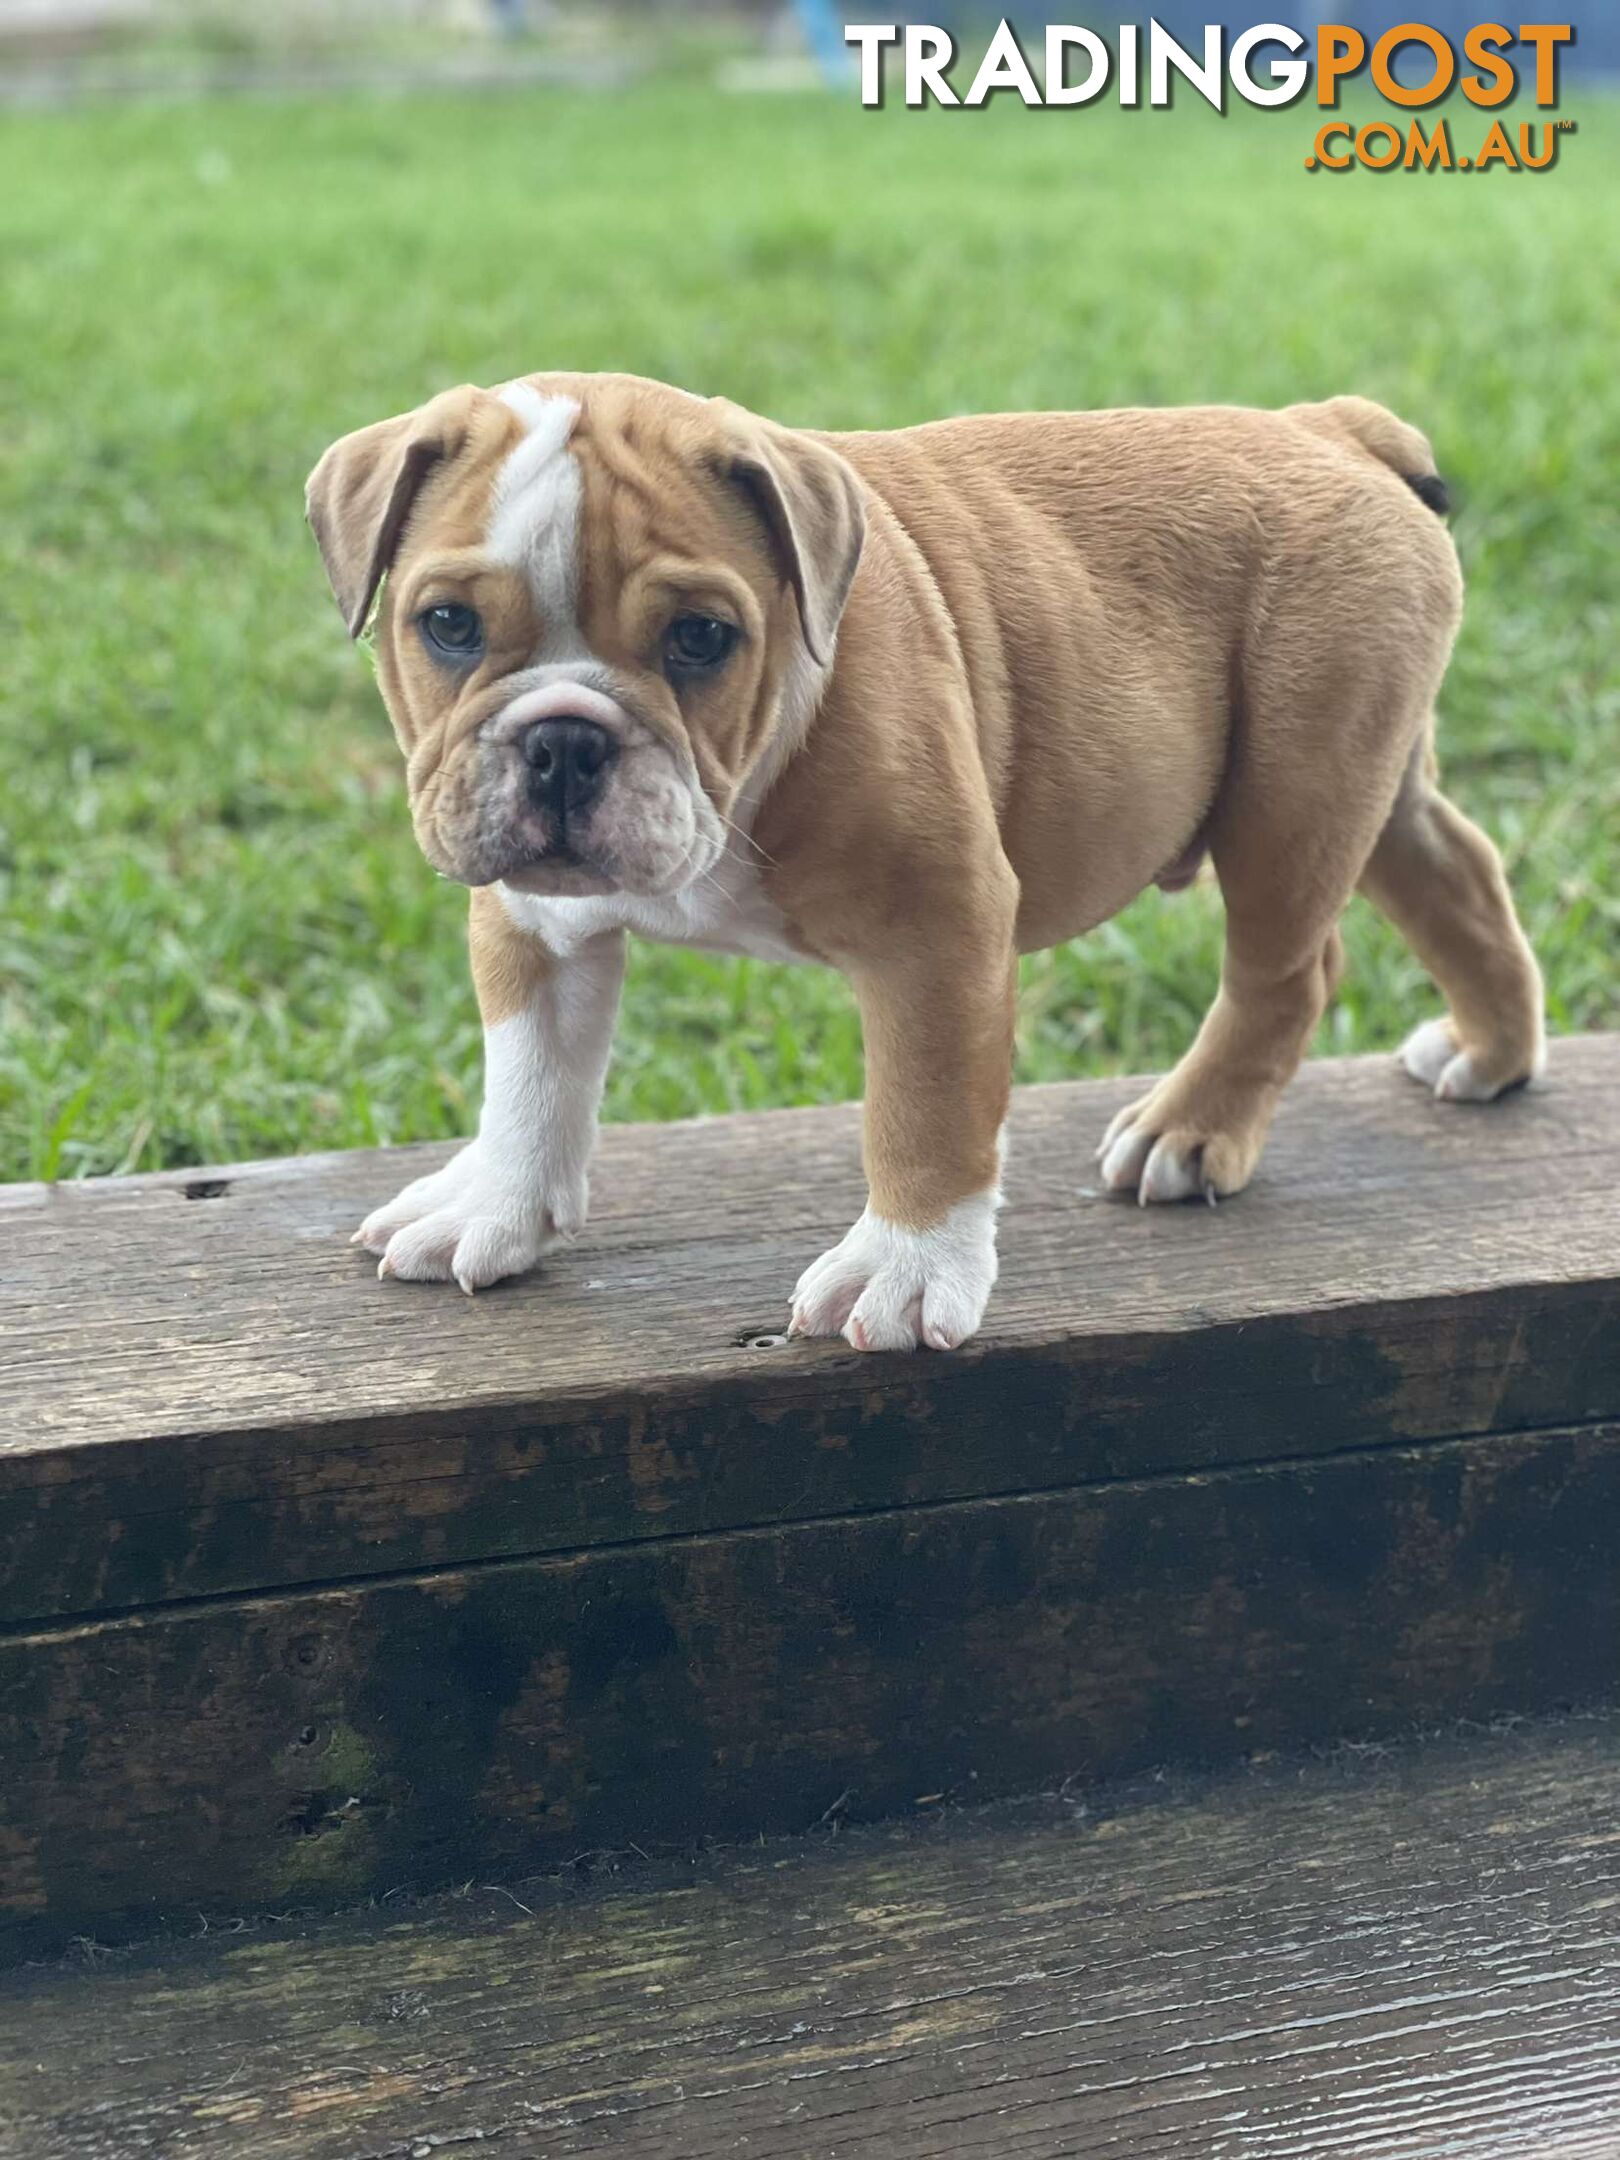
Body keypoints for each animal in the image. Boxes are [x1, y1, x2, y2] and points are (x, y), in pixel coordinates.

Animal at [306, 373, 1546, 1347]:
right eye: (449, 626)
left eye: (701, 638)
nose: (563, 740)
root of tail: (1329, 427)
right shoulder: (536, 925)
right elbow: (531, 1074)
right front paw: (494, 1206)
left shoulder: (937, 928)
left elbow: (924, 1107)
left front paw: (902, 1274)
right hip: (1366, 774)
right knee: (1455, 871)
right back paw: (1490, 1053)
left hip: (1296, 790)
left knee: (1289, 971)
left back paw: (1190, 1131)